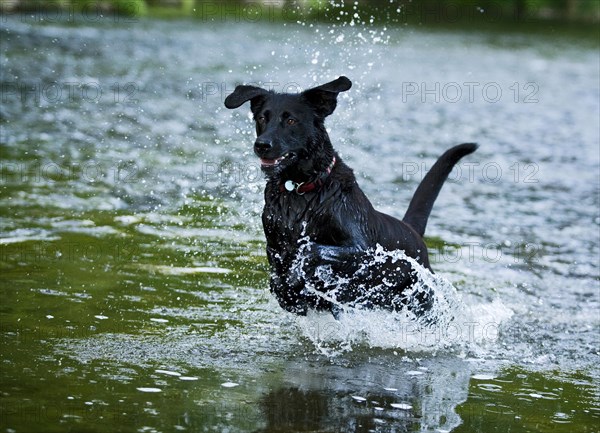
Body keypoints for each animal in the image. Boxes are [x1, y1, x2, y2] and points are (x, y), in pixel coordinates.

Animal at [225, 76, 478, 316]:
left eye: (290, 120)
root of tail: (413, 231)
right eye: (262, 118)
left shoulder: (363, 250)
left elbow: (311, 249)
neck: (298, 189)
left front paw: (299, 273)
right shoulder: (274, 247)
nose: (262, 145)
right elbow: (279, 278)